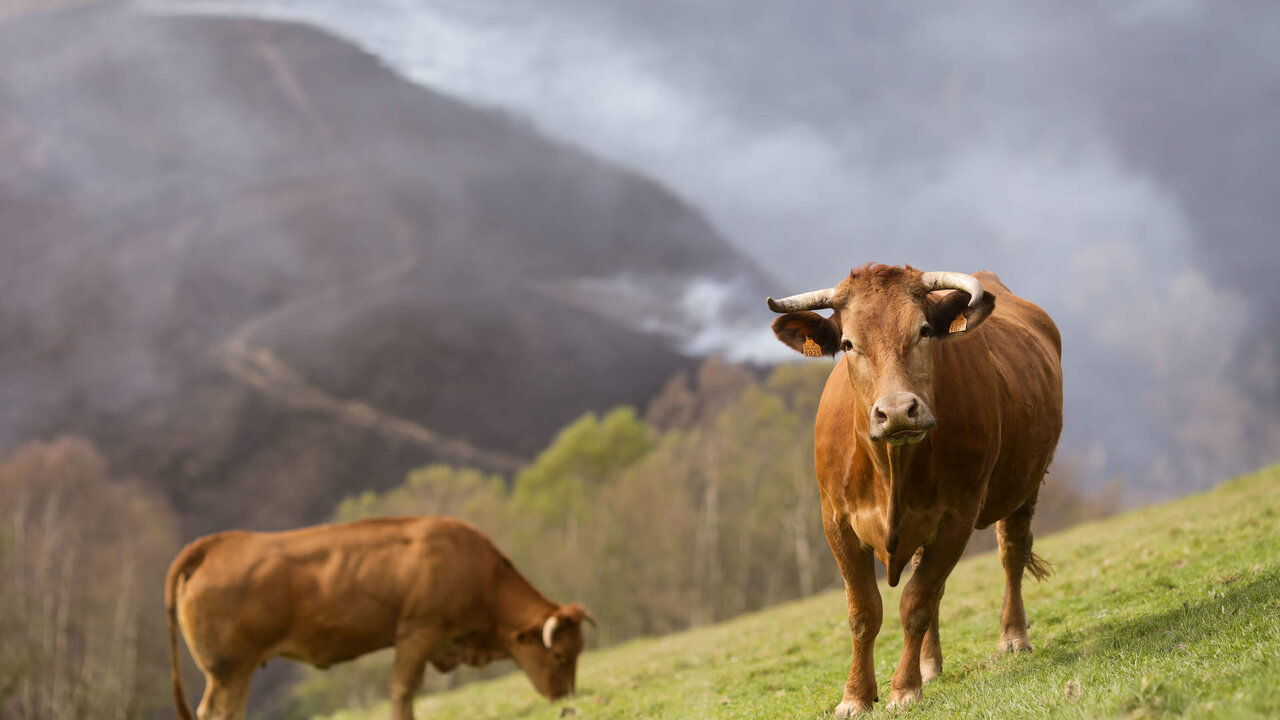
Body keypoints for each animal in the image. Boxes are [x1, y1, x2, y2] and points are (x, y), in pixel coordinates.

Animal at [165, 516, 595, 720]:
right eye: (559, 655)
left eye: (578, 652)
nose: (567, 698)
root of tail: (218, 544)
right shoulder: (418, 632)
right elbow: (402, 690)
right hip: (229, 669)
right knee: (217, 711)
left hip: (237, 671)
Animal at [767, 264, 1062, 716]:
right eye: (848, 343)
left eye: (923, 330)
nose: (897, 411)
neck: (892, 468)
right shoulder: (836, 522)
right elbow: (864, 611)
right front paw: (856, 695)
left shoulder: (957, 518)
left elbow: (916, 603)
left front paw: (903, 690)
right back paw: (929, 664)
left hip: (1025, 484)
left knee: (1010, 554)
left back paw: (1013, 636)